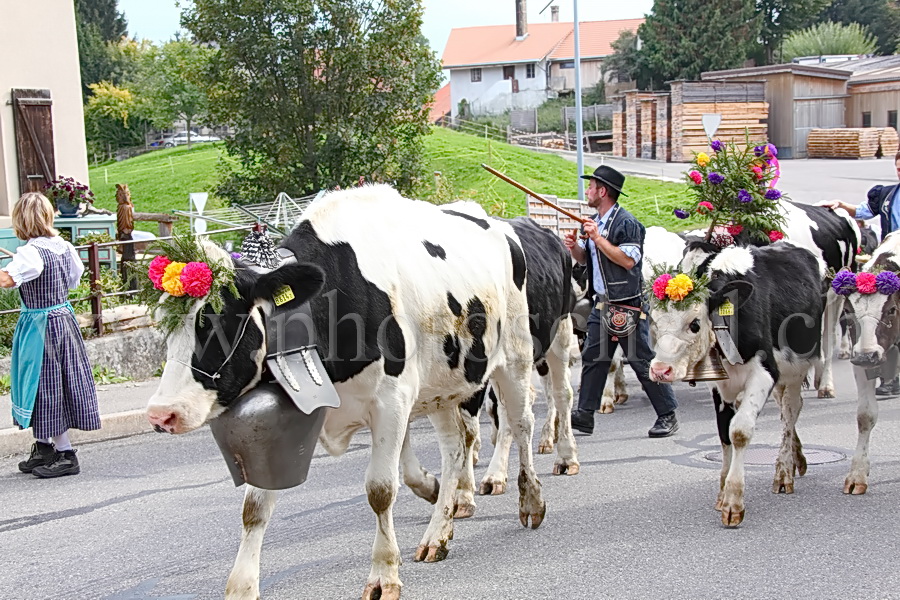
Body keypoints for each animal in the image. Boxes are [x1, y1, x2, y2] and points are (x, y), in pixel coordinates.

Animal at [144, 185, 548, 600]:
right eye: (159, 323)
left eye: (219, 321)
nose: (161, 413)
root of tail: (495, 223)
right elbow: (254, 507)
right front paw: (241, 587)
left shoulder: (391, 400)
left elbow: (380, 490)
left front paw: (383, 575)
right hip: (442, 382)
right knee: (455, 449)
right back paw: (438, 533)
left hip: (514, 355)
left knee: (521, 424)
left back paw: (530, 500)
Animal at [652, 241, 828, 528]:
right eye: (654, 322)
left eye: (695, 324)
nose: (659, 370)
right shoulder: (719, 385)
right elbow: (724, 433)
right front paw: (723, 493)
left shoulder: (766, 371)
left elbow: (739, 432)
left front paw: (733, 502)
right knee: (785, 412)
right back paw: (797, 459)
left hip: (797, 366)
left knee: (791, 411)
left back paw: (783, 472)